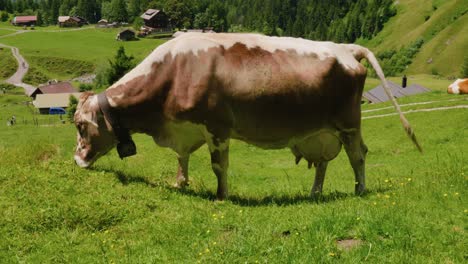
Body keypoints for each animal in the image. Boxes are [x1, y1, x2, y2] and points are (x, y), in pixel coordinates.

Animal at [73, 34, 420, 201]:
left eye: (80, 125)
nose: (76, 161)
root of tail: (344, 48)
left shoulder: (217, 128)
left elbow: (218, 166)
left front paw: (222, 196)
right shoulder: (185, 130)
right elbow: (182, 159)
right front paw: (180, 183)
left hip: (348, 124)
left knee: (357, 155)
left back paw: (359, 190)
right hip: (320, 131)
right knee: (324, 162)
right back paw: (315, 193)